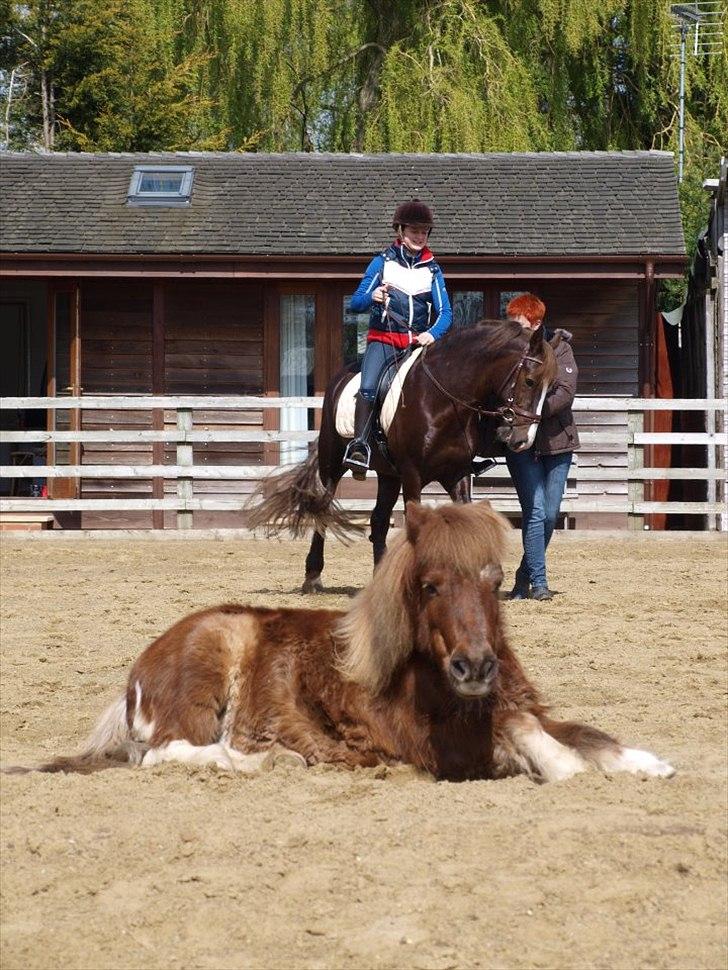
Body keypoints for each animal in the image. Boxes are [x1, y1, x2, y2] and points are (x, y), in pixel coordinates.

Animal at [8, 502, 674, 784]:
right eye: (430, 585)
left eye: (494, 580)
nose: (476, 667)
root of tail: (139, 673)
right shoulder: (440, 746)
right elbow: (528, 737)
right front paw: (567, 769)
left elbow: (580, 731)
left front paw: (650, 763)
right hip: (208, 669)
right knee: (167, 752)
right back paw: (270, 759)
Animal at [248, 319, 558, 593]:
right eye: (530, 381)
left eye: (552, 387)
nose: (523, 440)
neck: (445, 399)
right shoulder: (412, 475)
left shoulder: (456, 474)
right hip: (332, 463)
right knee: (323, 508)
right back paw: (312, 577)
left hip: (388, 475)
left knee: (378, 522)